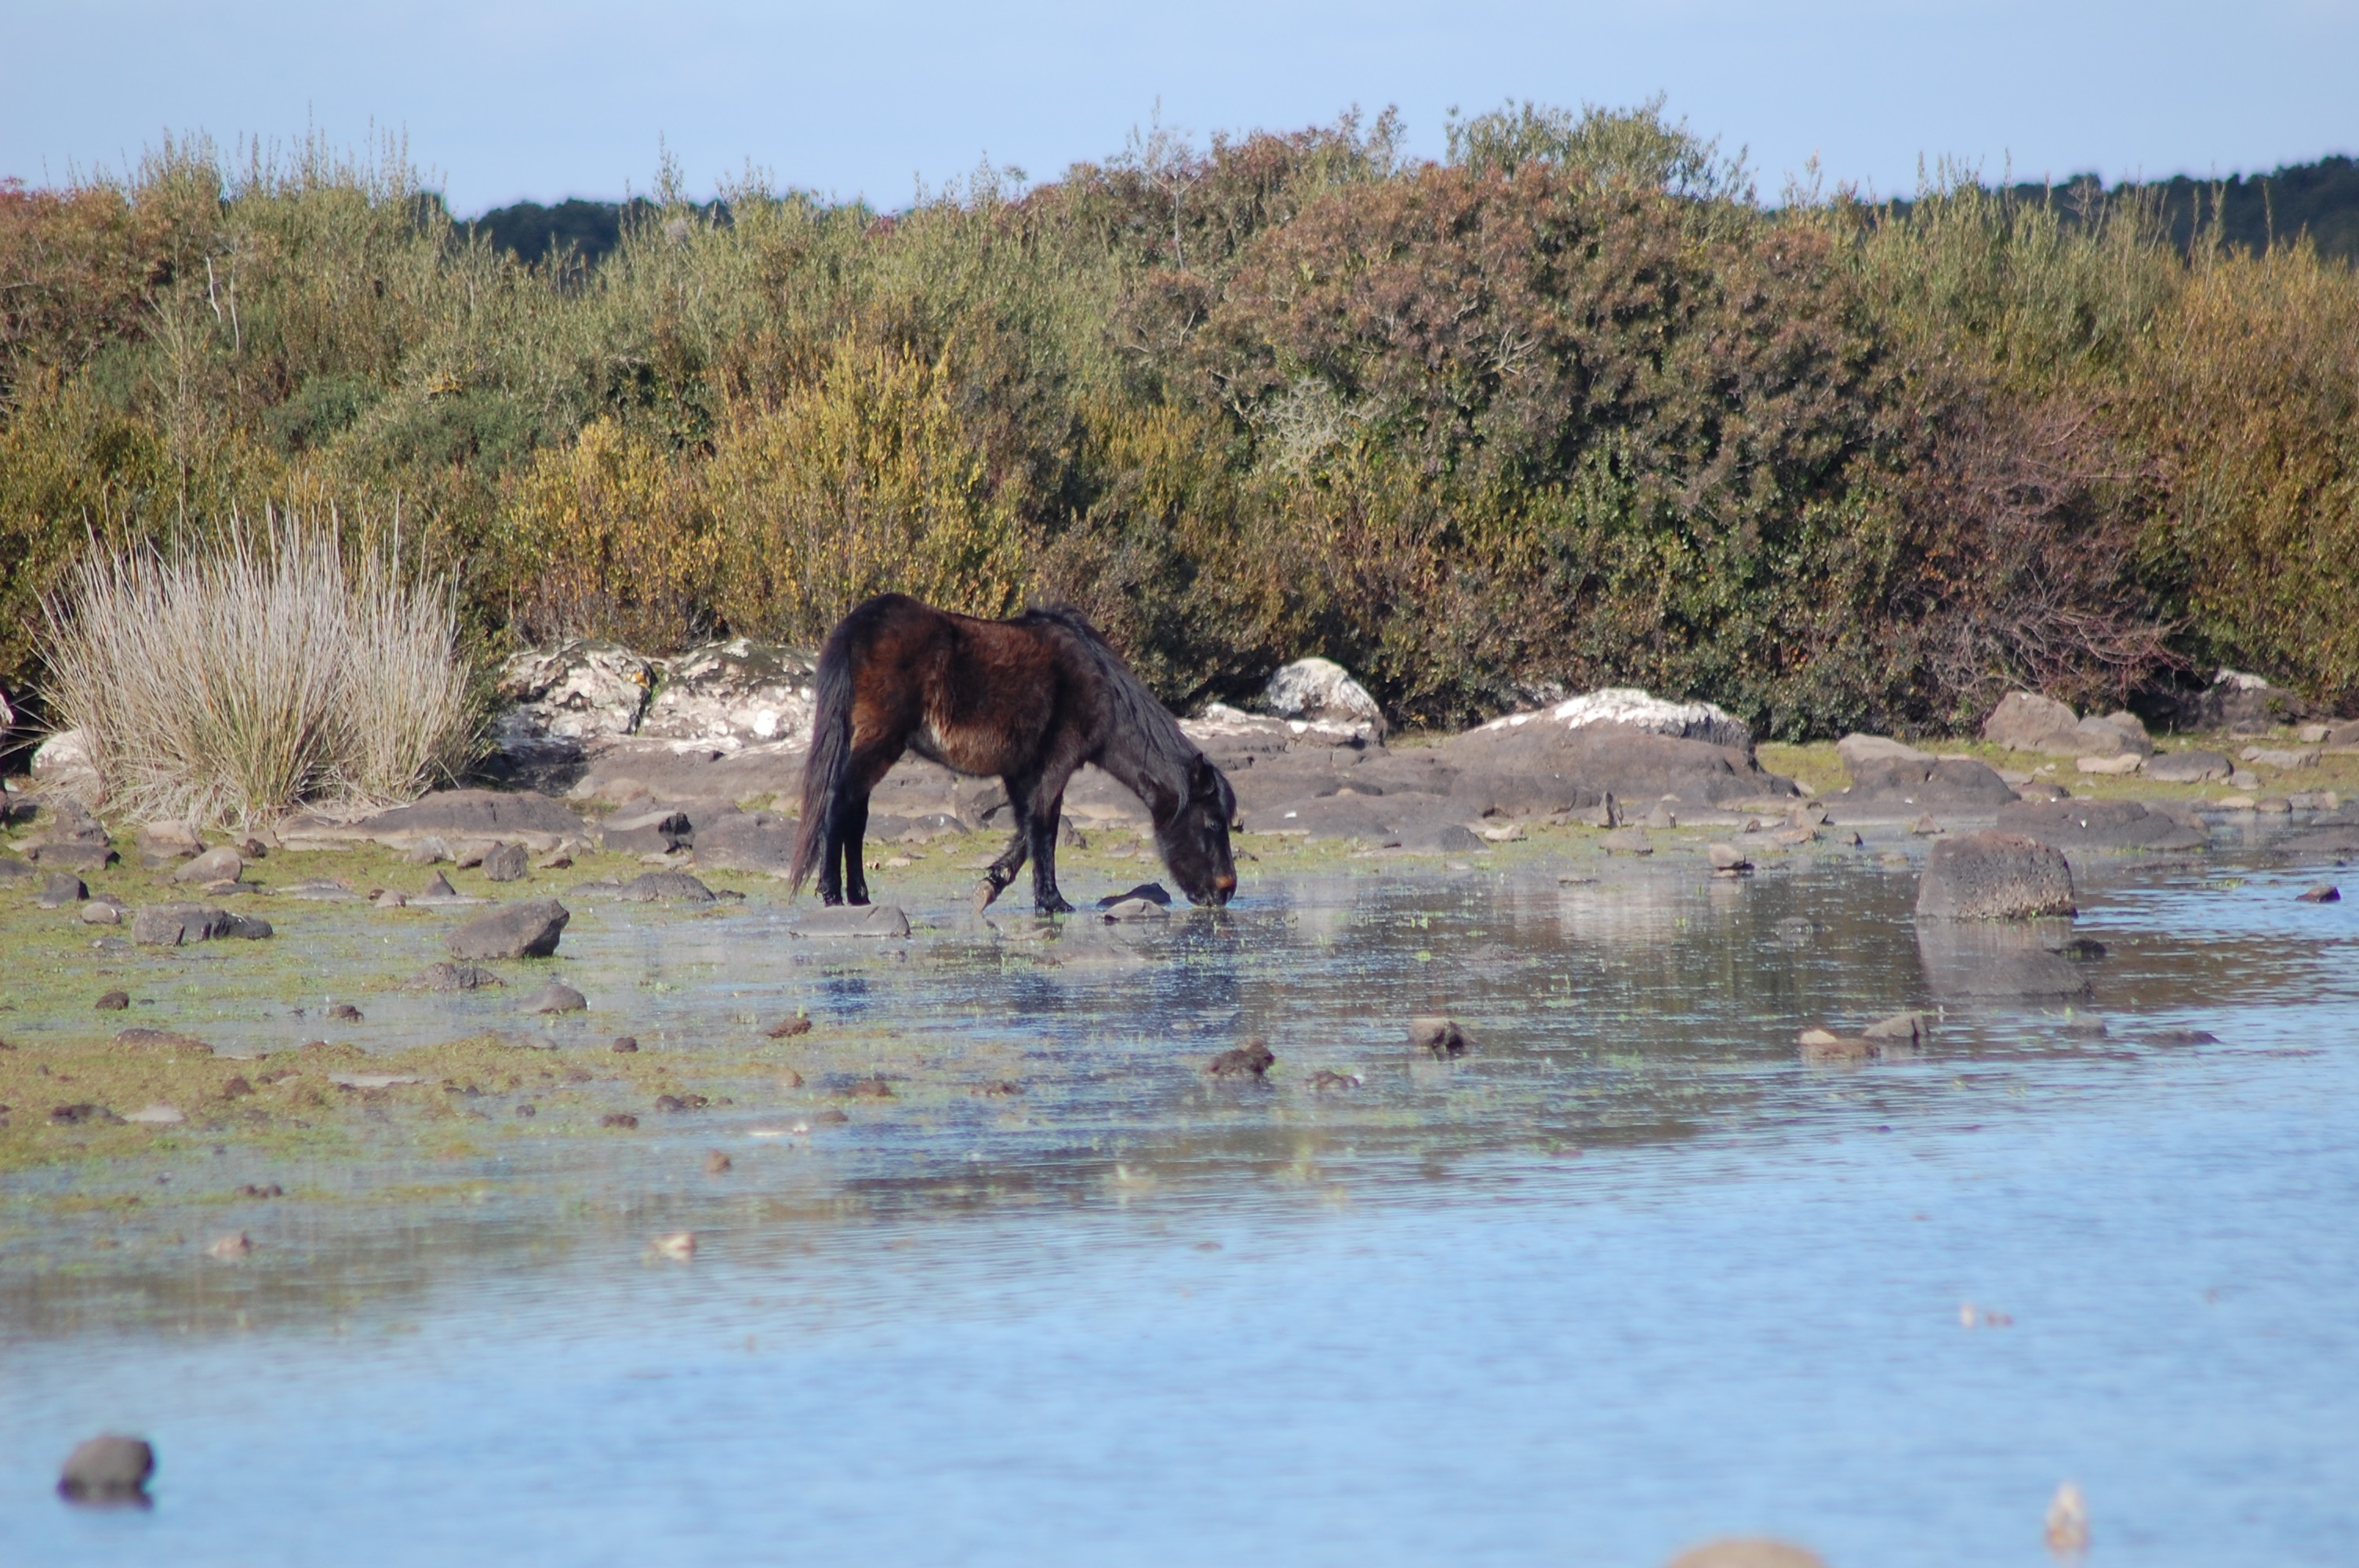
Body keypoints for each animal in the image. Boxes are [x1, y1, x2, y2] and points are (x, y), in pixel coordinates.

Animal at [788, 594, 1239, 914]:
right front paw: (1051, 900)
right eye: (1213, 823)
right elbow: (1045, 826)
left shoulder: (1021, 771)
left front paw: (994, 882)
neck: (1100, 686)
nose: (1226, 891)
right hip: (880, 742)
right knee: (839, 802)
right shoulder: (1056, 763)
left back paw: (859, 894)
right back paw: (831, 892)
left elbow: (1028, 827)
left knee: (856, 813)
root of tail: (860, 625)